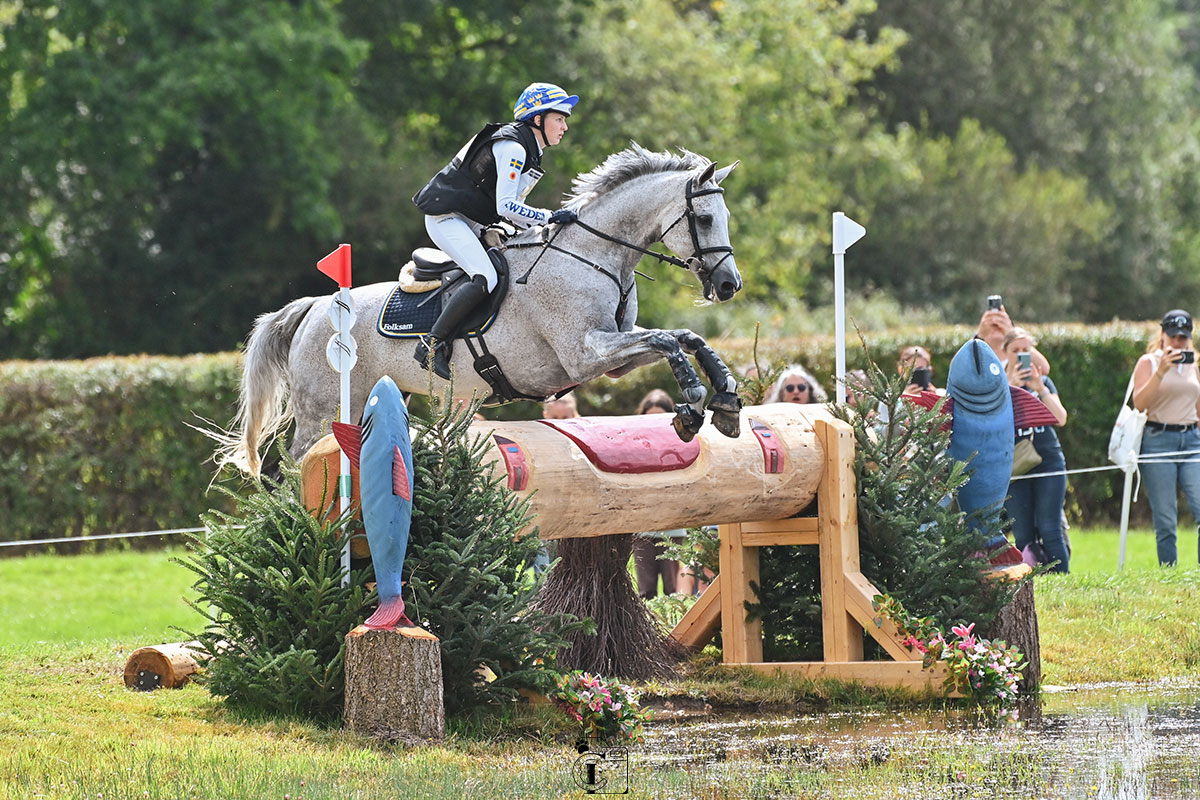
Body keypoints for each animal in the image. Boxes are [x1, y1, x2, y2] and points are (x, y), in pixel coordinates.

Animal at [216, 143, 739, 474]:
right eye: (704, 218)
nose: (729, 285)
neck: (595, 253)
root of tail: (315, 308)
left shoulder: (612, 360)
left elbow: (685, 338)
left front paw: (726, 401)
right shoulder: (585, 354)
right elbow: (668, 339)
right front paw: (693, 403)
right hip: (322, 406)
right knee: (296, 464)